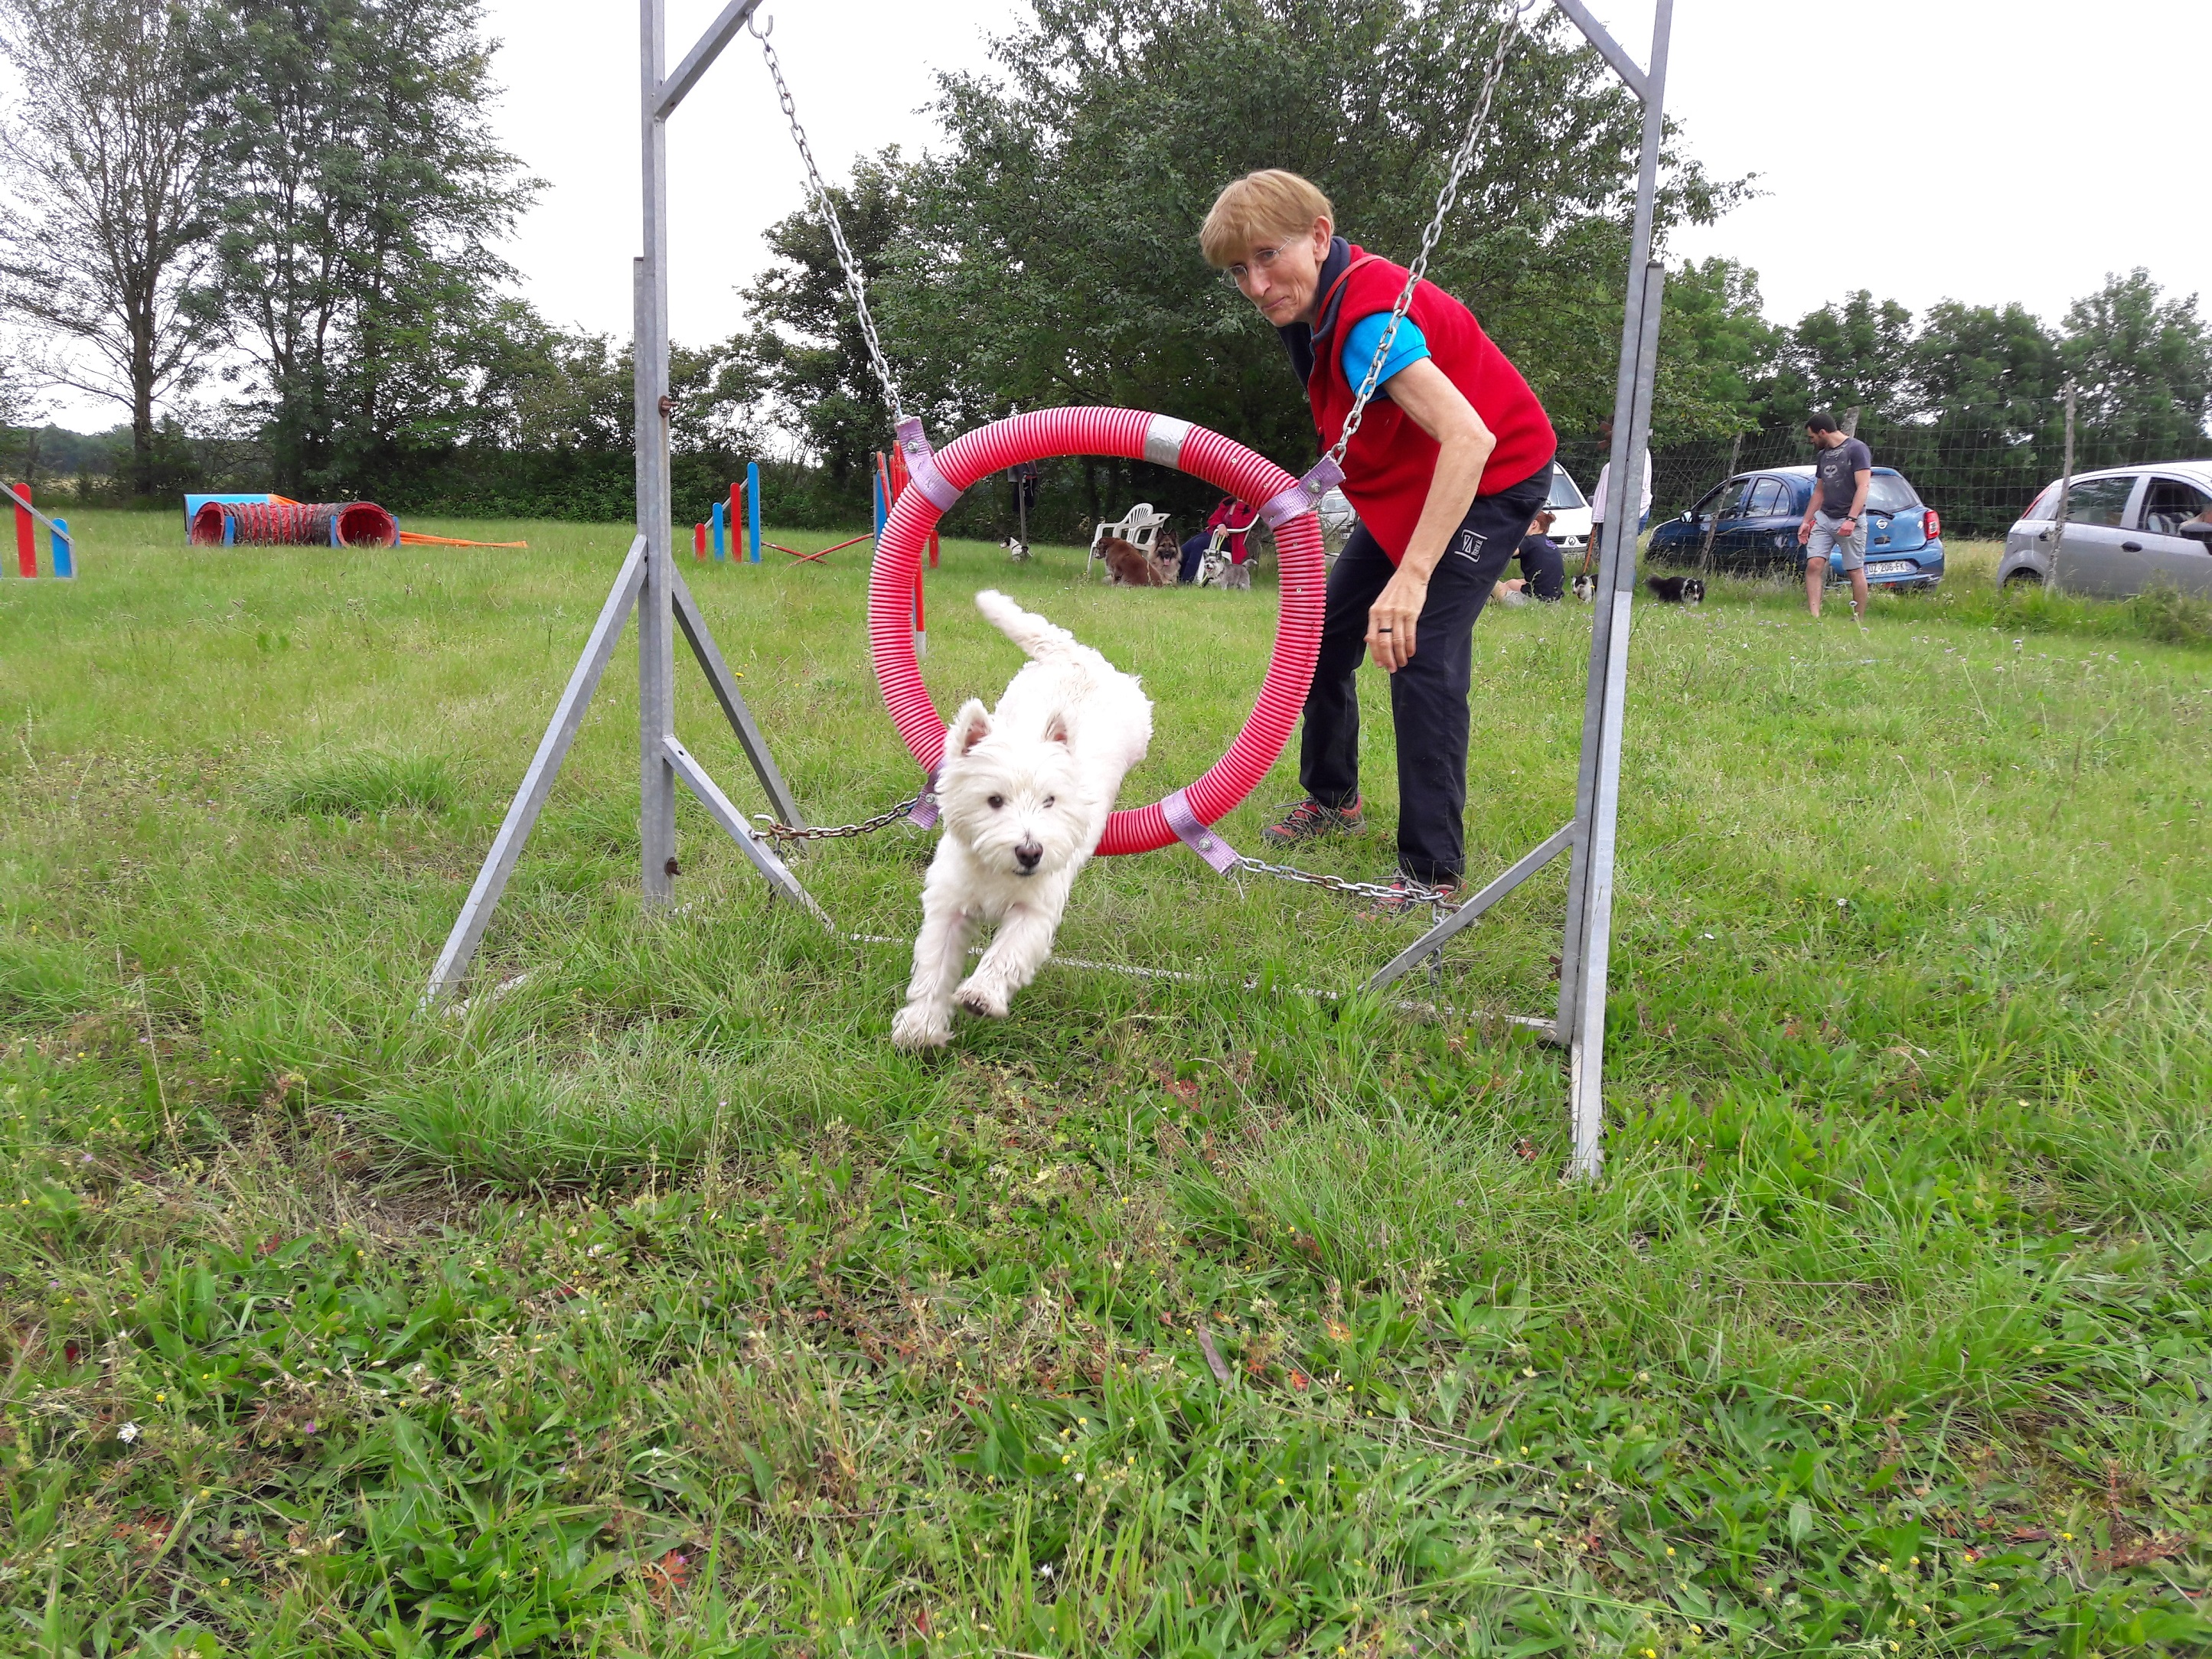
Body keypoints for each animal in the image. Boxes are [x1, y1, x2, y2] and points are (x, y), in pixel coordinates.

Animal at [889, 588, 1159, 1052]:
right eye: (994, 800)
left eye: (1050, 801)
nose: (1031, 853)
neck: (997, 871)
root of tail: (1073, 655)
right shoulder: (949, 904)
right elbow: (934, 967)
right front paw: (921, 1027)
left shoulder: (1036, 909)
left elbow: (1007, 952)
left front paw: (980, 996)